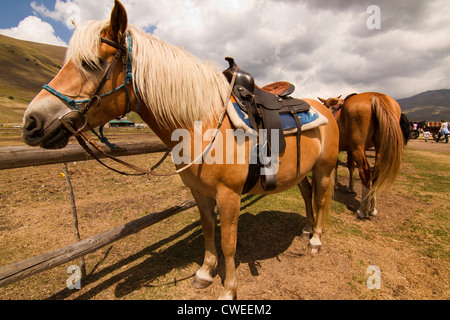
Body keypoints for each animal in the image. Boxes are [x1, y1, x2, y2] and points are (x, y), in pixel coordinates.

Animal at [21, 0, 338, 300]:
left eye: (92, 63)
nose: (31, 122)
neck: (202, 123)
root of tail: (324, 106)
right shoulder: (199, 191)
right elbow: (208, 228)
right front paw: (205, 272)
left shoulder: (229, 195)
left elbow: (229, 242)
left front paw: (228, 288)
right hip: (302, 171)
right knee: (308, 194)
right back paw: (307, 229)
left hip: (324, 168)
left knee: (321, 198)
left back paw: (316, 240)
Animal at [318, 91, 410, 219]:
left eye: (325, 104)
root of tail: (376, 96)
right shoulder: (351, 149)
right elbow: (350, 167)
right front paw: (350, 187)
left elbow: (337, 166)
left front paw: (336, 185)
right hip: (379, 146)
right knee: (376, 172)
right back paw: (372, 208)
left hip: (358, 147)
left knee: (365, 172)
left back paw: (363, 209)